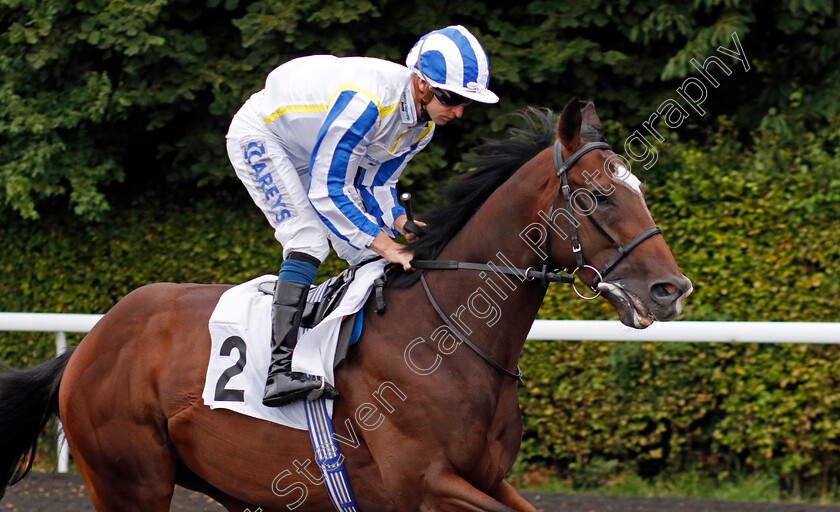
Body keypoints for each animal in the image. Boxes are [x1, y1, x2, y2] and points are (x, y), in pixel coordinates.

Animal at [0, 98, 688, 510]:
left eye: (639, 189)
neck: (447, 338)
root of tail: (90, 343)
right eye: (599, 197)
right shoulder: (425, 485)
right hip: (129, 482)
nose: (671, 290)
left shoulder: (489, 478)